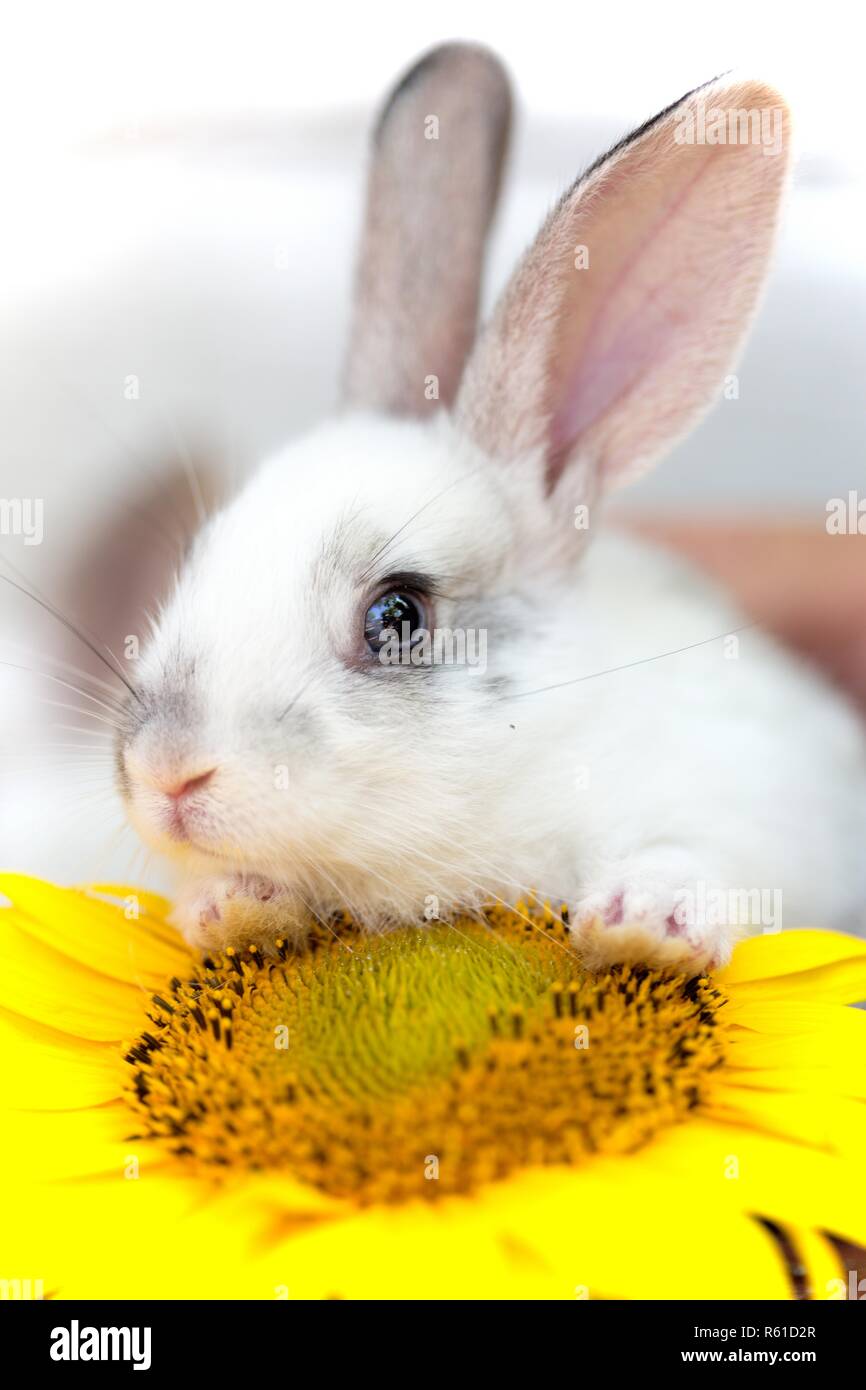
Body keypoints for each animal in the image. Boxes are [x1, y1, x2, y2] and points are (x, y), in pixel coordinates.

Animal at [117, 42, 866, 972]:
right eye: (197, 556)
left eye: (399, 616)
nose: (166, 772)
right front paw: (230, 906)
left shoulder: (758, 804)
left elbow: (693, 854)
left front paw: (643, 920)